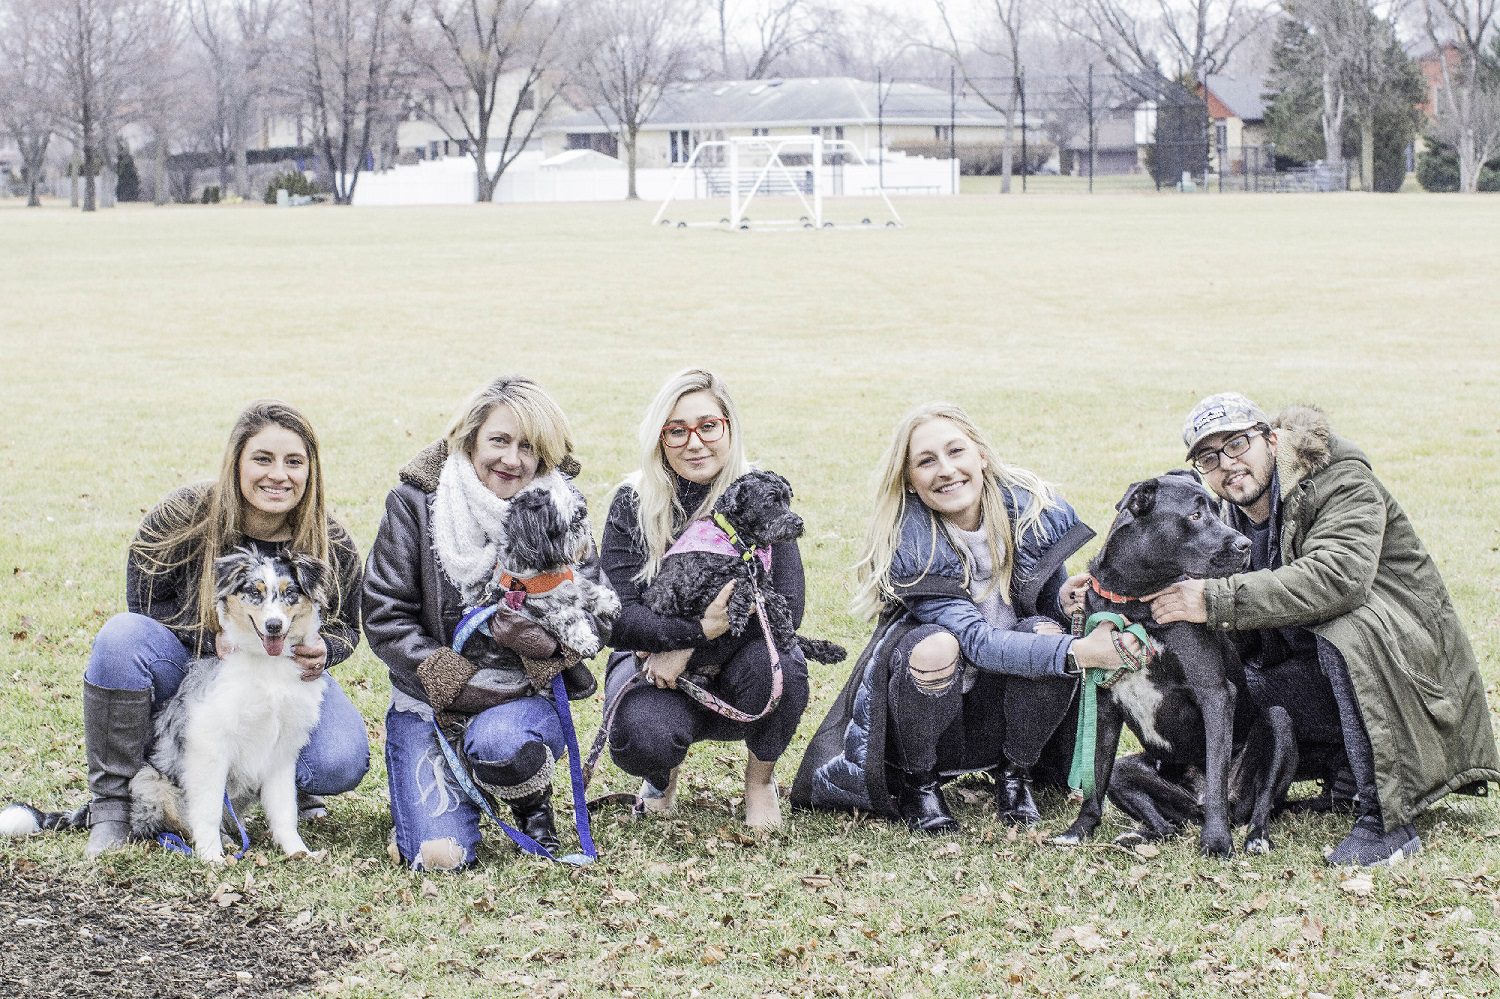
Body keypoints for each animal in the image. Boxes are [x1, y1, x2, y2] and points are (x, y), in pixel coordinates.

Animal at [2, 549, 331, 858]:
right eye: (255, 592)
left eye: (290, 593)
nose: (274, 625)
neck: (267, 666)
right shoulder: (209, 744)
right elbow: (208, 809)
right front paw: (212, 857)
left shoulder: (281, 751)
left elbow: (284, 811)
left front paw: (298, 852)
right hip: (149, 780)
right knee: (170, 823)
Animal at [642, 468, 846, 669]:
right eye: (770, 500)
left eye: (787, 499)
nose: (799, 523)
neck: (740, 542)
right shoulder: (687, 592)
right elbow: (748, 586)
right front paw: (740, 611)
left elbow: (770, 596)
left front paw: (785, 628)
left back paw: (829, 650)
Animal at [1050, 471, 1296, 852]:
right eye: (1194, 516)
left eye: (1215, 509)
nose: (1244, 546)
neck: (1136, 604)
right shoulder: (1103, 703)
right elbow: (1095, 777)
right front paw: (1079, 829)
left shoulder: (1214, 693)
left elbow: (1216, 772)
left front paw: (1216, 842)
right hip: (1132, 774)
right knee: (1167, 824)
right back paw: (1140, 834)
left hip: (1279, 723)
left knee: (1259, 802)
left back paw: (1253, 837)